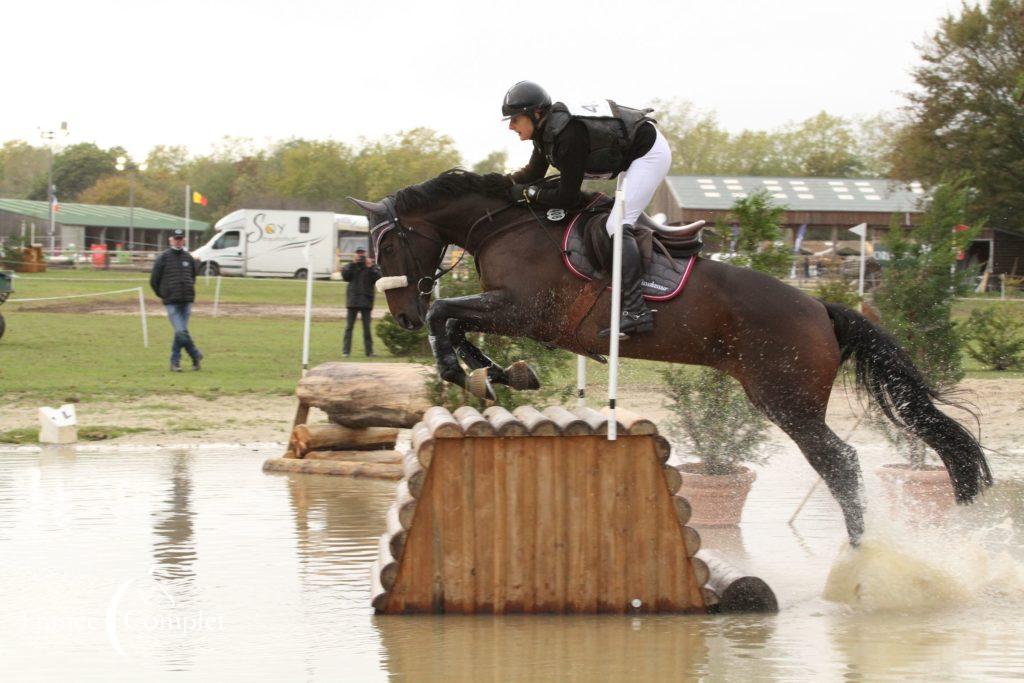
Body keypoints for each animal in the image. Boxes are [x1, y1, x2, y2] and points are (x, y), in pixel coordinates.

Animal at [350, 167, 991, 540]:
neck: (505, 224)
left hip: (789, 402)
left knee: (841, 464)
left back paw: (861, 556)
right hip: (780, 398)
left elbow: (446, 313)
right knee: (840, 464)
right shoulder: (510, 312)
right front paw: (503, 375)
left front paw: (466, 373)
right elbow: (456, 324)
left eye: (389, 247)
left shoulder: (526, 311)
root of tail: (819, 308)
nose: (401, 314)